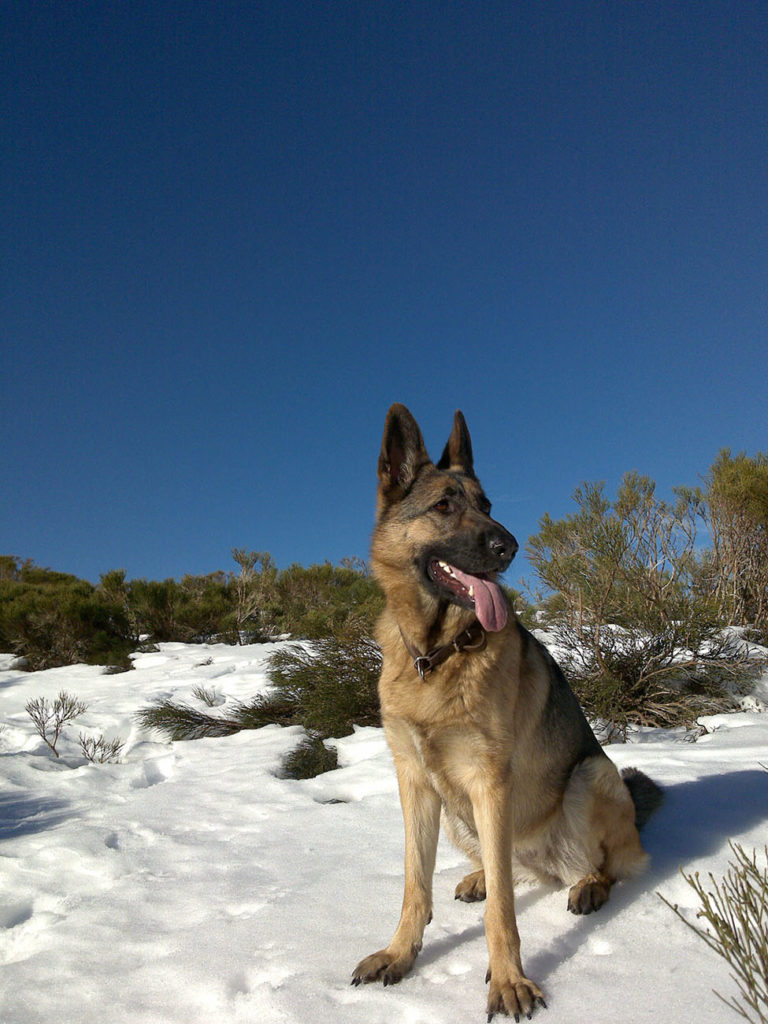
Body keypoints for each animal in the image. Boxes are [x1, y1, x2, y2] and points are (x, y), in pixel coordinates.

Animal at [352, 403, 663, 1019]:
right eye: (444, 506)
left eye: (488, 505)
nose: (509, 546)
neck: (436, 655)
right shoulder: (415, 782)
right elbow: (414, 885)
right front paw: (400, 954)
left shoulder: (489, 780)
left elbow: (504, 913)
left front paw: (508, 981)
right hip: (457, 814)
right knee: (510, 872)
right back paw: (480, 876)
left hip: (591, 774)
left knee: (600, 866)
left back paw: (587, 886)